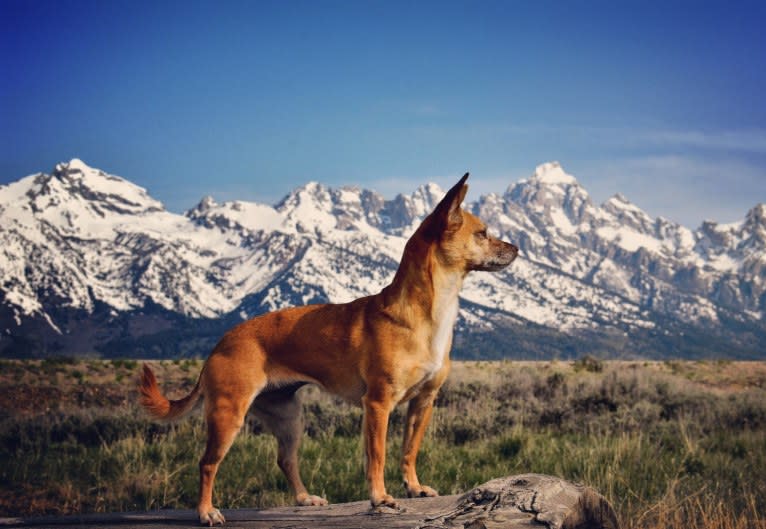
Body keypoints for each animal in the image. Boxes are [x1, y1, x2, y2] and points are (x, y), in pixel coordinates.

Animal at [140, 174, 520, 524]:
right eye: (483, 233)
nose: (516, 248)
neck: (433, 309)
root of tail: (219, 344)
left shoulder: (423, 402)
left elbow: (409, 451)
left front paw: (413, 487)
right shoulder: (378, 403)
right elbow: (377, 455)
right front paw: (380, 497)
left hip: (289, 418)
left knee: (285, 459)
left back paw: (304, 499)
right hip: (227, 415)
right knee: (207, 463)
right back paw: (206, 512)